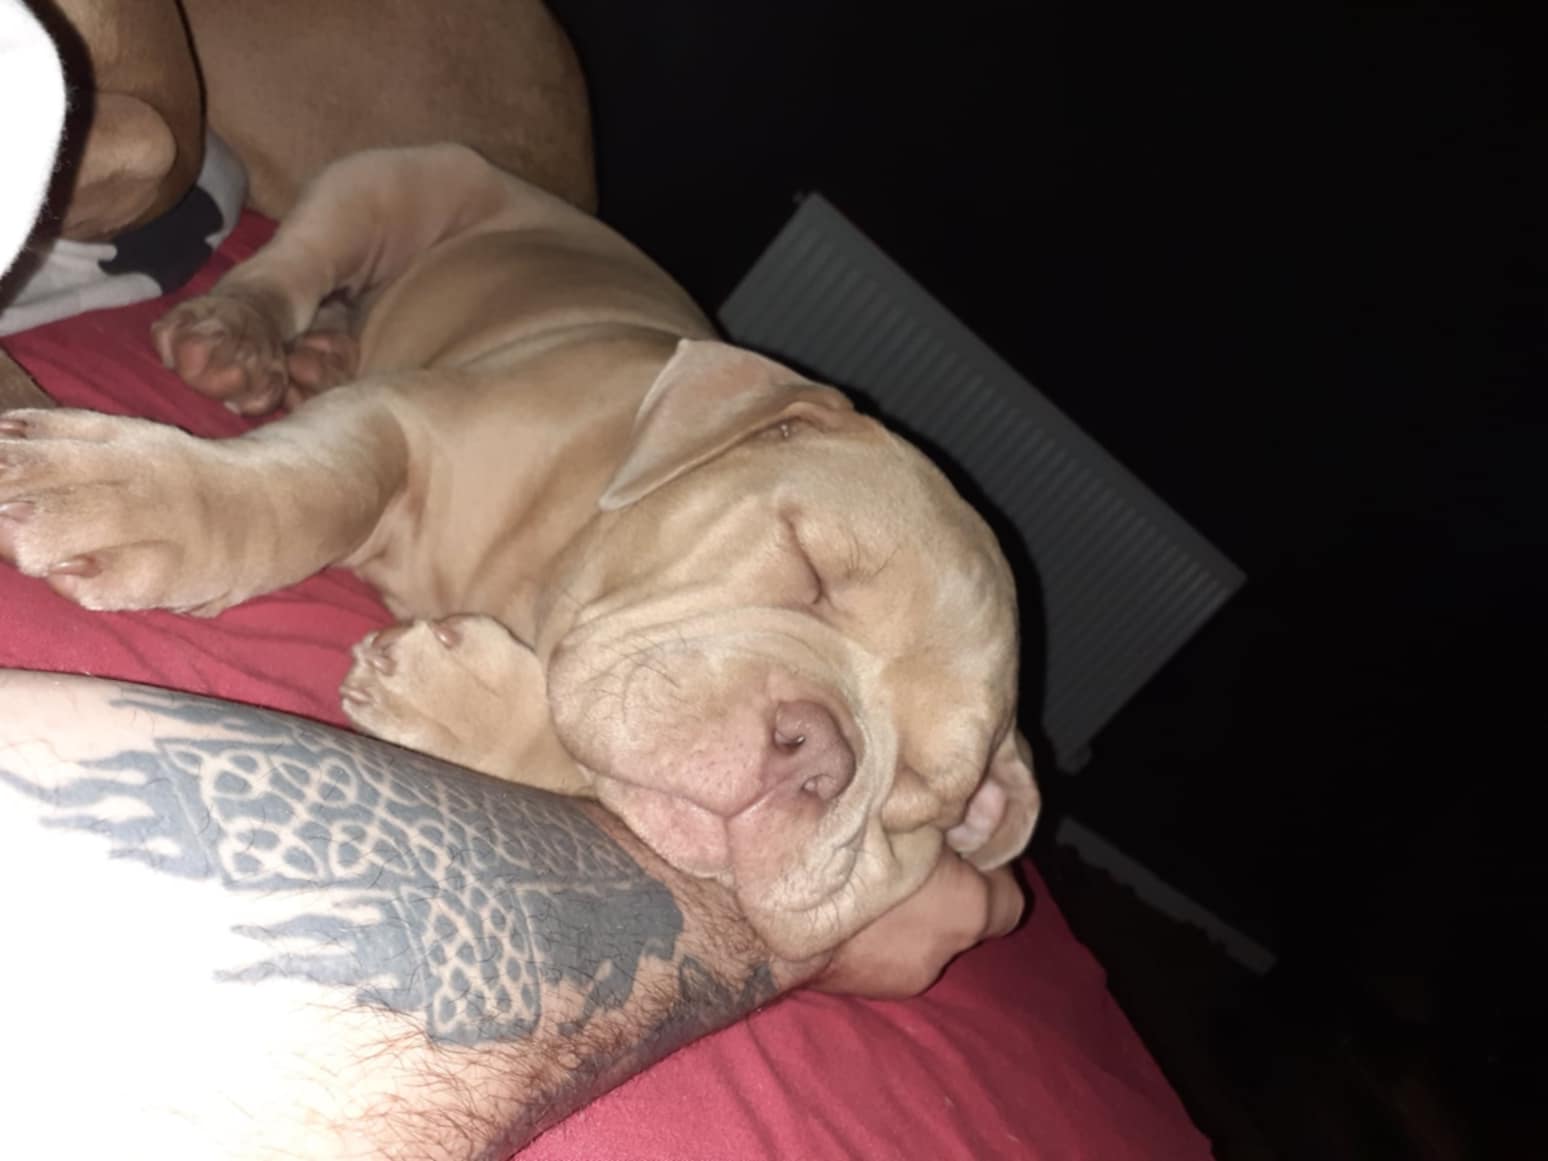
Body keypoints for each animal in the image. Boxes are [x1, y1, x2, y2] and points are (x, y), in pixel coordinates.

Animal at [0, 144, 1037, 959]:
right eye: (810, 563)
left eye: (924, 784)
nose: (818, 757)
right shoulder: (403, 416)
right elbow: (313, 490)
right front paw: (129, 495)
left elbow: (585, 750)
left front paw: (457, 696)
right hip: (397, 183)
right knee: (294, 267)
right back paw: (237, 338)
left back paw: (313, 360)